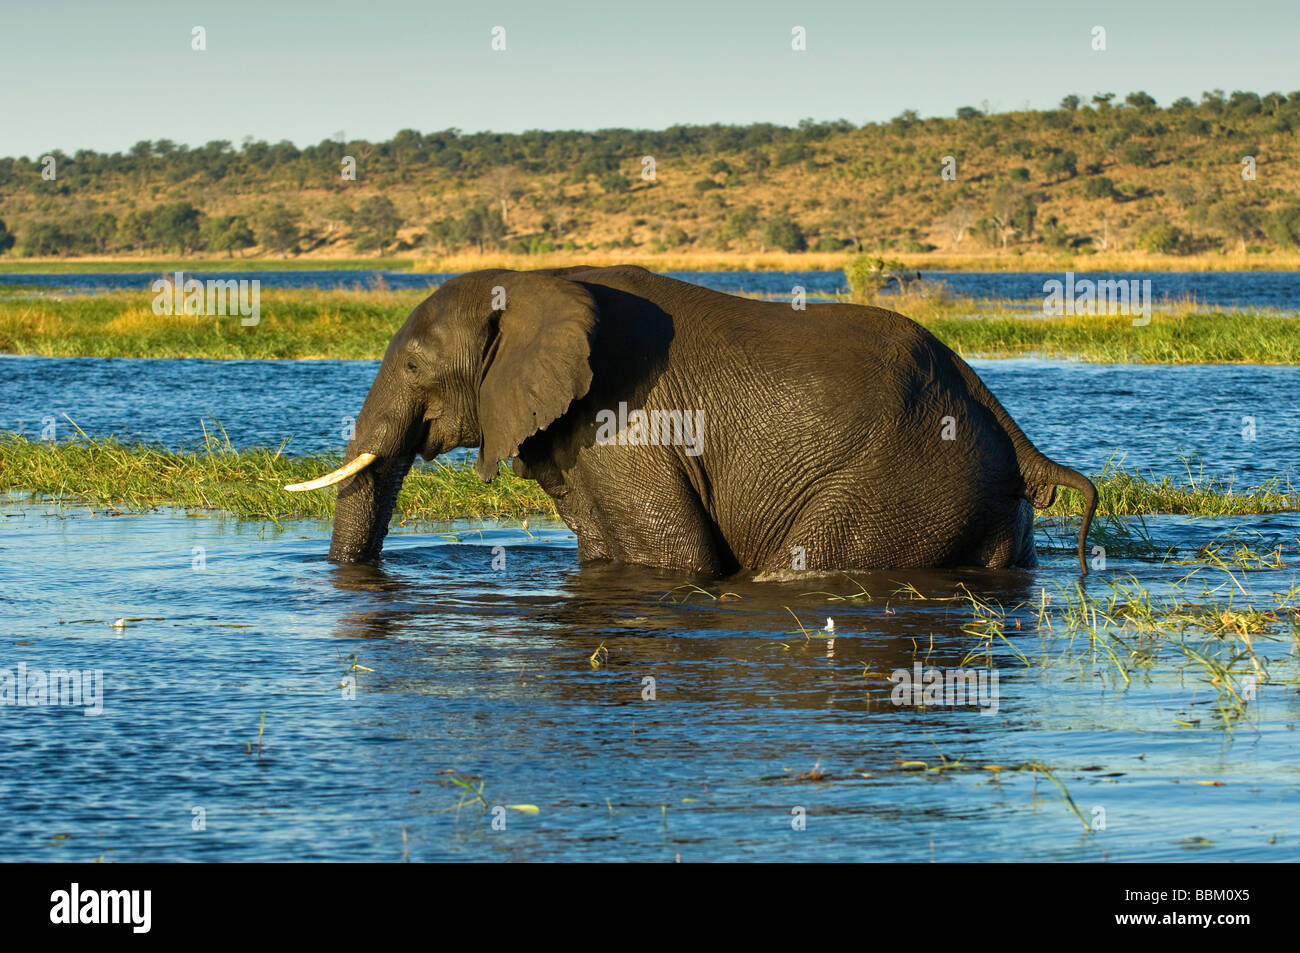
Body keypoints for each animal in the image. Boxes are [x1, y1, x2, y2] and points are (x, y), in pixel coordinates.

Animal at [287, 263, 1097, 577]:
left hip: (902, 482)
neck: (533, 281)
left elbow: (678, 560)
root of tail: (1001, 417)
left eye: (414, 369)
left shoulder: (625, 429)